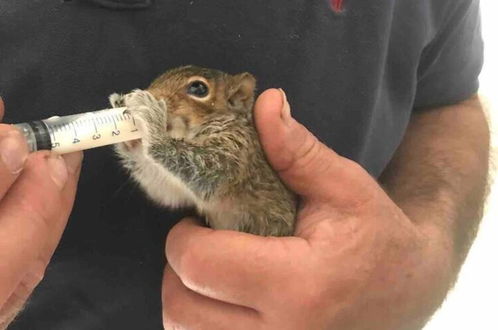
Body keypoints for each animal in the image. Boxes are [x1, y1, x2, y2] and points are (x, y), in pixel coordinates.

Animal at [110, 65, 296, 236]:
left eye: (198, 88)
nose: (151, 94)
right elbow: (163, 188)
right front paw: (128, 133)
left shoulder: (236, 151)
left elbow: (206, 170)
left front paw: (151, 116)